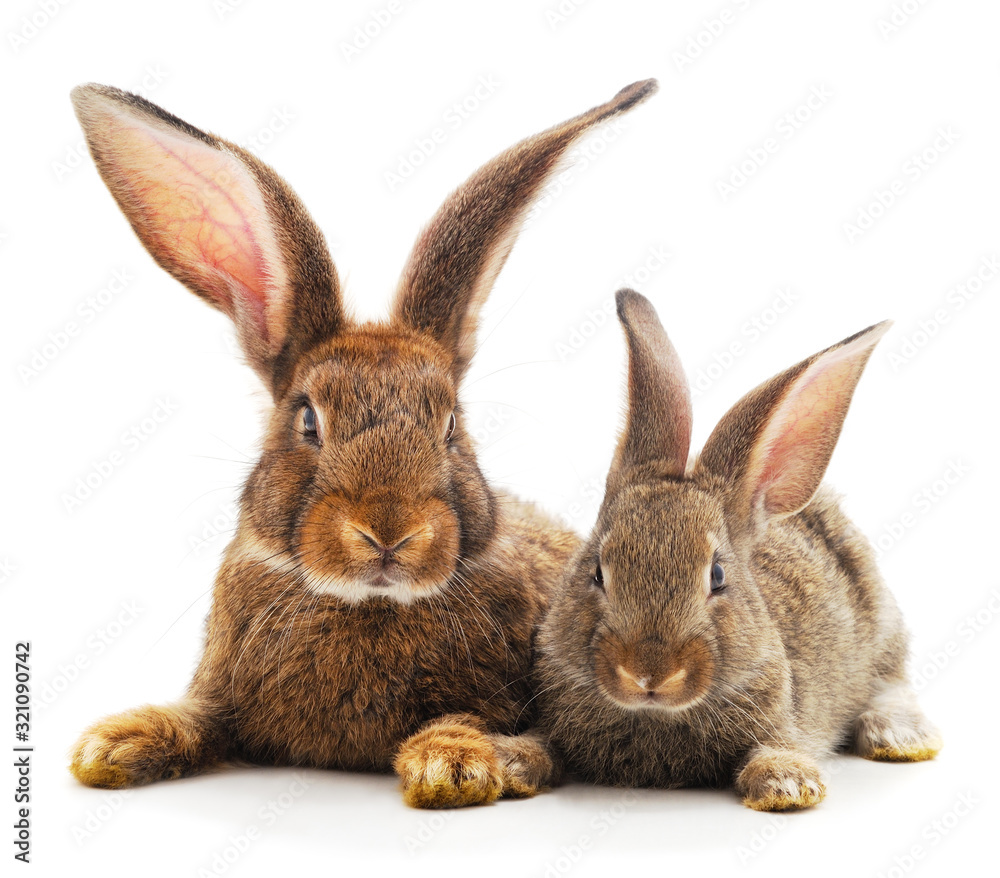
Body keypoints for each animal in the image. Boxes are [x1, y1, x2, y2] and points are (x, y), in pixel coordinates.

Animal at [67, 79, 658, 808]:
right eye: (308, 421)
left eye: (451, 425)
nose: (388, 531)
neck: (367, 602)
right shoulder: (221, 696)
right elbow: (197, 717)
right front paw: (114, 744)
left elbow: (478, 725)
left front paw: (453, 766)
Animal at [536, 289, 942, 811]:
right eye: (597, 574)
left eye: (718, 577)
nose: (648, 675)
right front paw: (512, 759)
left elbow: (774, 746)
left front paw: (786, 784)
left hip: (883, 626)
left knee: (891, 682)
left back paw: (900, 736)